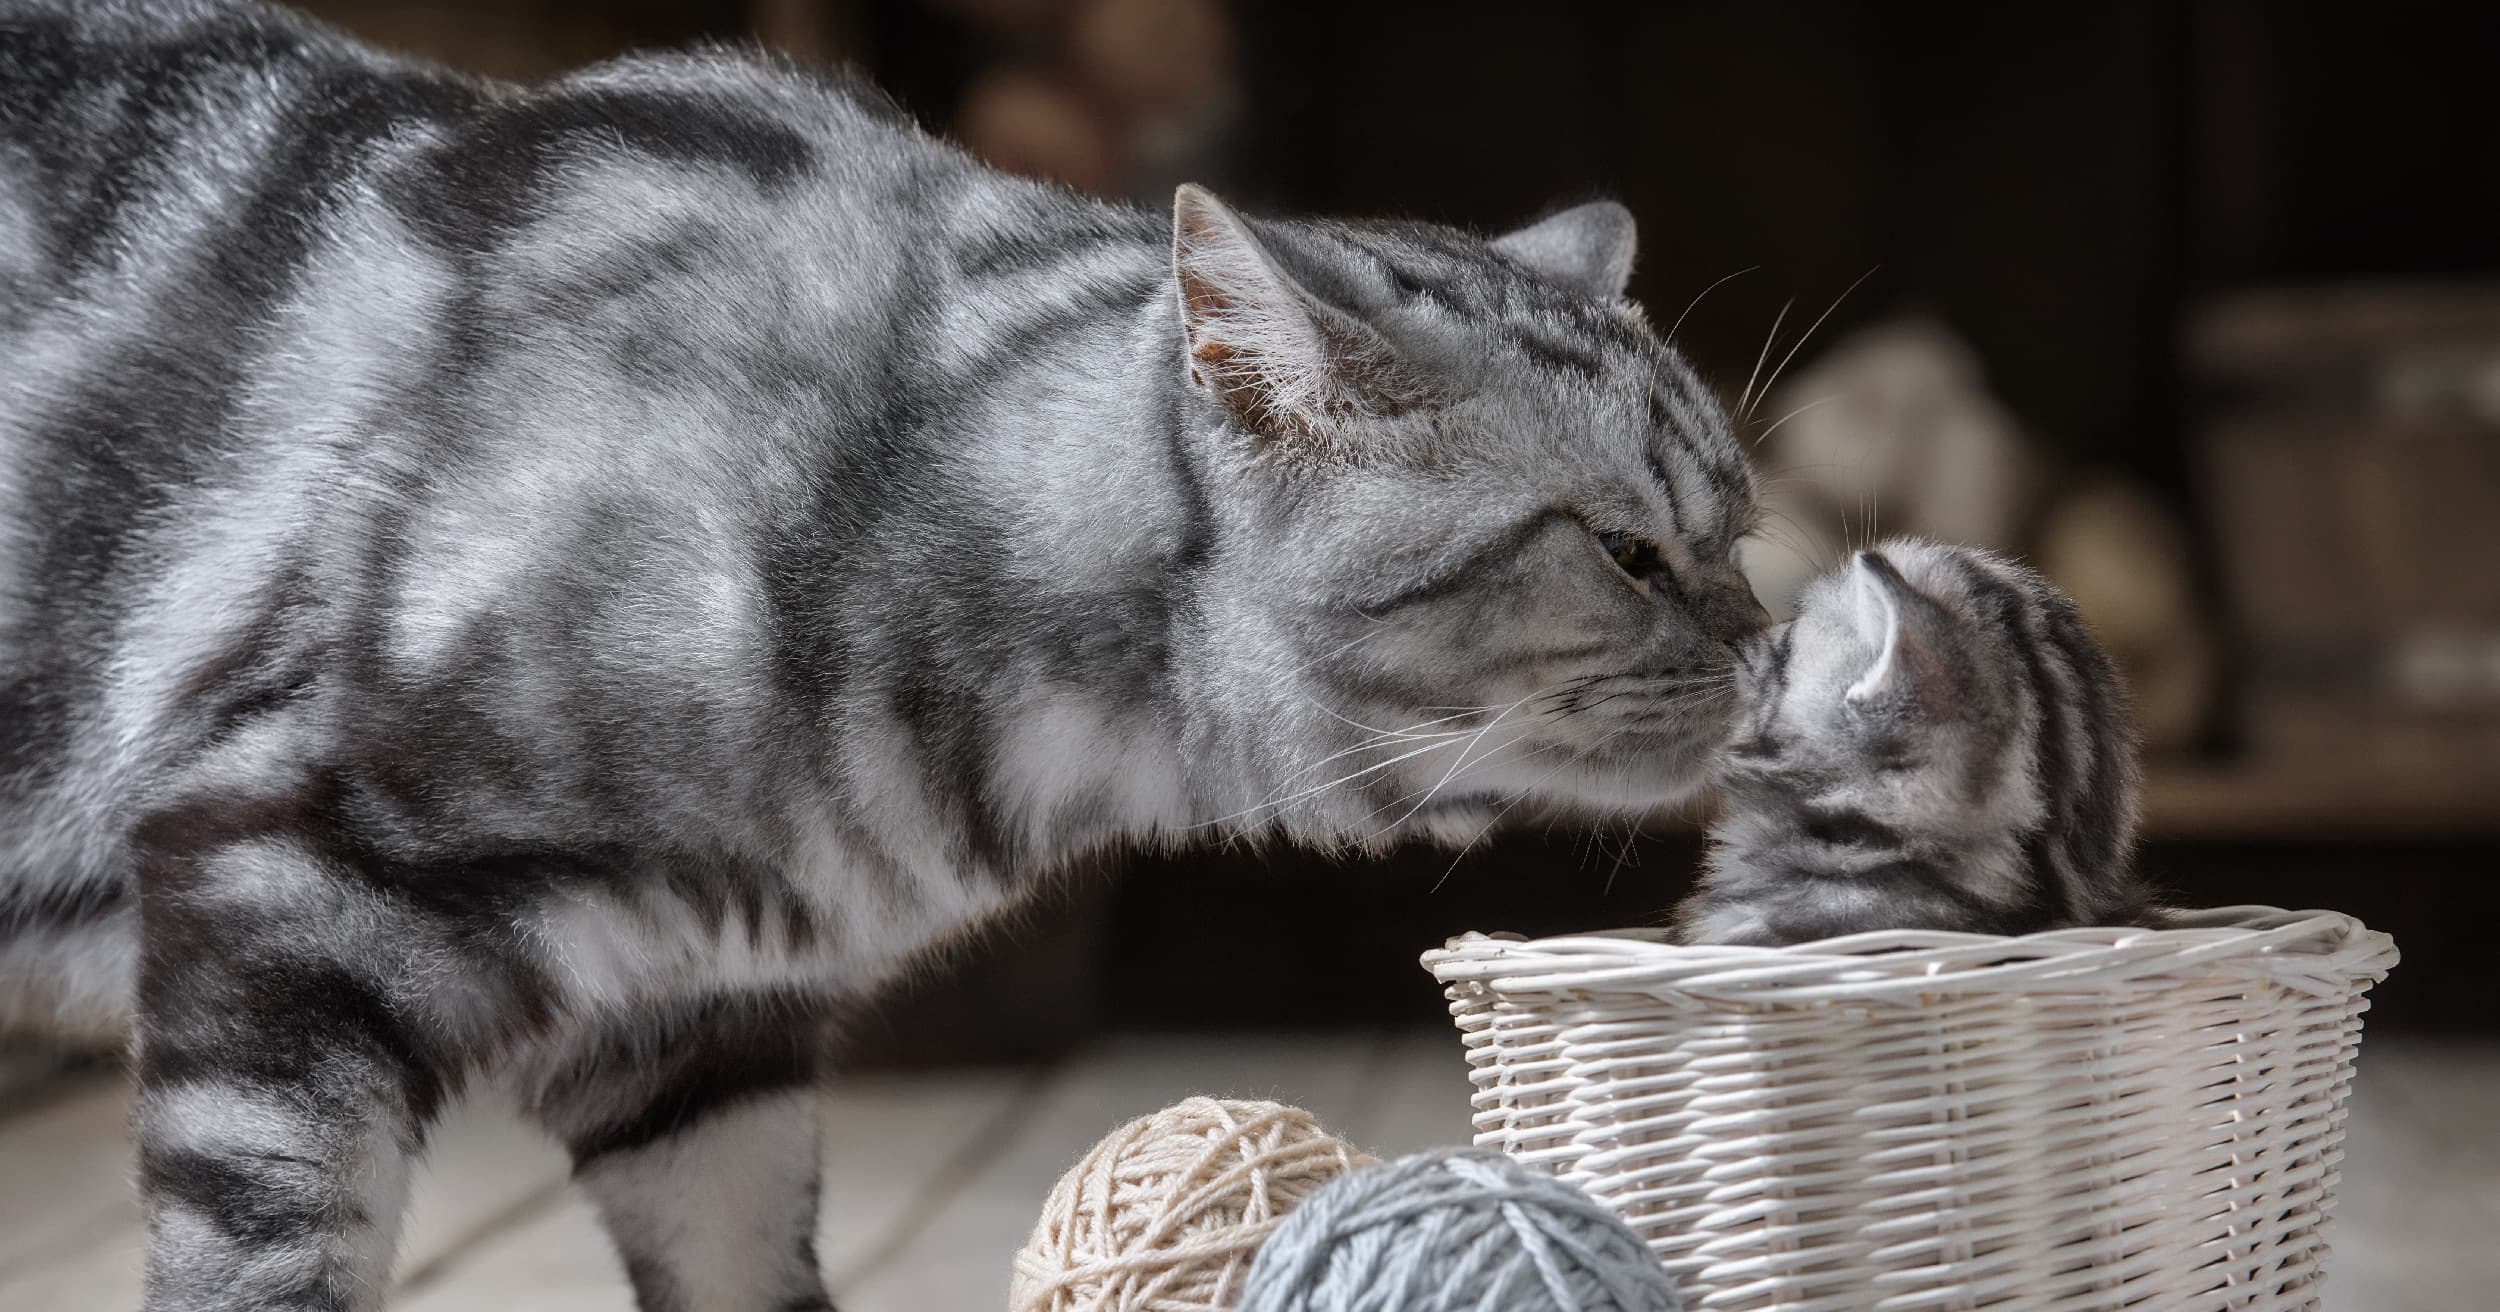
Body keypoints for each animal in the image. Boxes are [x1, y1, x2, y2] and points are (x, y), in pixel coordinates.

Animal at [0, 5, 1770, 1299]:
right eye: (1630, 551)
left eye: (1743, 532)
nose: (1764, 647)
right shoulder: (274, 891)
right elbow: (265, 1271)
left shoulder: (700, 1047)